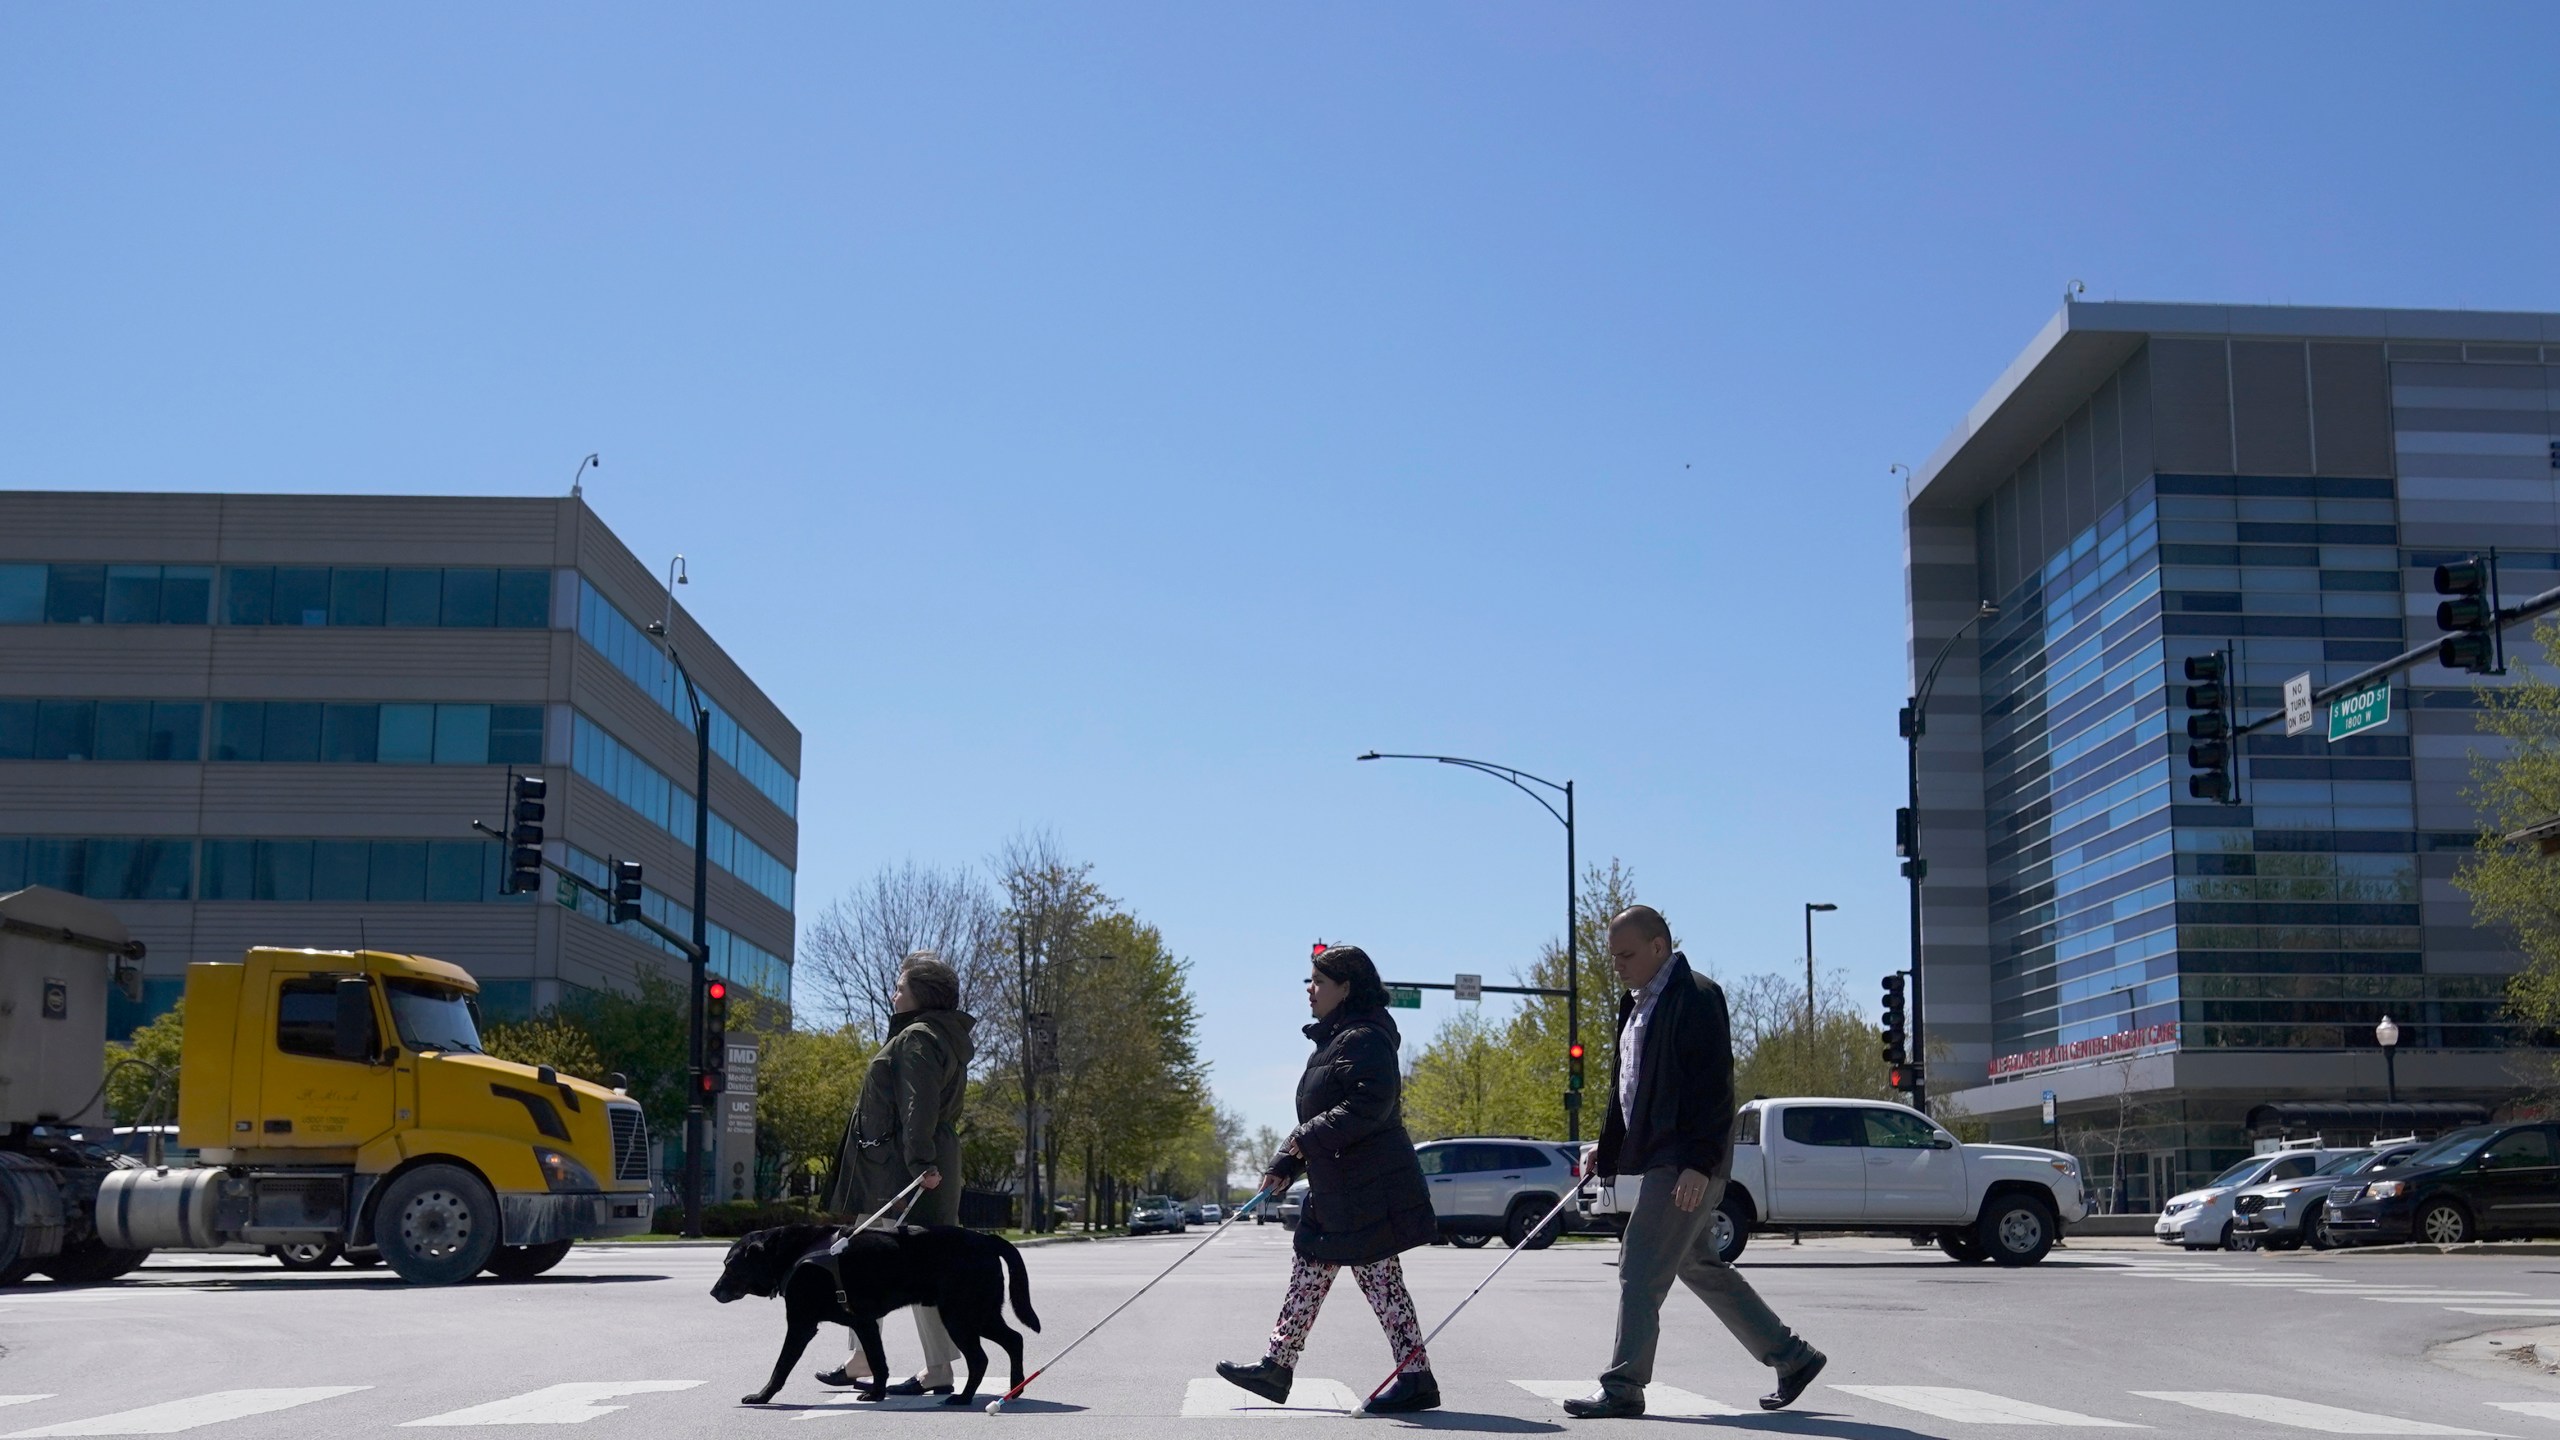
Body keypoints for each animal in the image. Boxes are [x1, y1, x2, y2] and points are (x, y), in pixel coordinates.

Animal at [711, 1214, 1039, 1404]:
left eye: (730, 1266)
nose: (713, 1292)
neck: (790, 1253)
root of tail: (986, 1238)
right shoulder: (864, 1323)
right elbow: (878, 1361)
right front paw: (878, 1393)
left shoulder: (801, 1325)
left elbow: (780, 1366)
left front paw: (762, 1396)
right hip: (981, 1315)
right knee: (1015, 1340)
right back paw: (1016, 1387)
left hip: (960, 1317)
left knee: (980, 1358)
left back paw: (965, 1397)